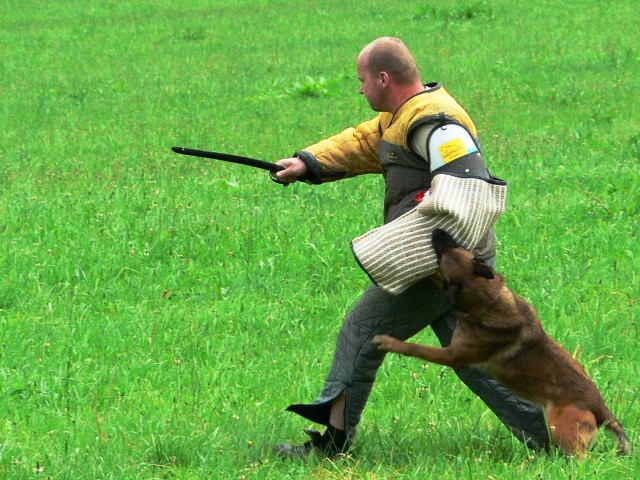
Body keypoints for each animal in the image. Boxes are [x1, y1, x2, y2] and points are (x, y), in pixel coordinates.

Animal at [376, 231, 632, 456]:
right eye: (461, 247)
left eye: (443, 254)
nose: (437, 230)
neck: (485, 297)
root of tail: (600, 406)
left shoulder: (453, 355)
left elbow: (417, 348)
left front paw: (388, 342)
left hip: (562, 428)